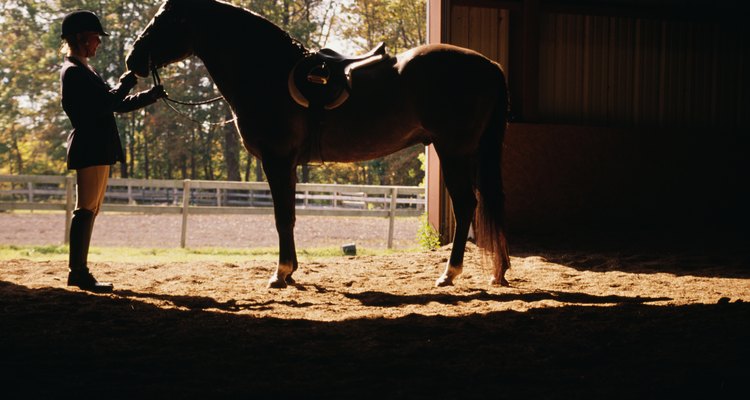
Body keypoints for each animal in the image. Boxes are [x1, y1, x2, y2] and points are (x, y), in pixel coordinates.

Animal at [126, 0, 516, 290]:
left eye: (167, 18)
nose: (132, 60)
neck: (265, 72)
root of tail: (489, 65)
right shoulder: (287, 164)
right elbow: (290, 215)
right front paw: (290, 271)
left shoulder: (277, 159)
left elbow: (282, 216)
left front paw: (280, 273)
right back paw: (497, 271)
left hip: (454, 151)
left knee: (466, 206)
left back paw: (449, 274)